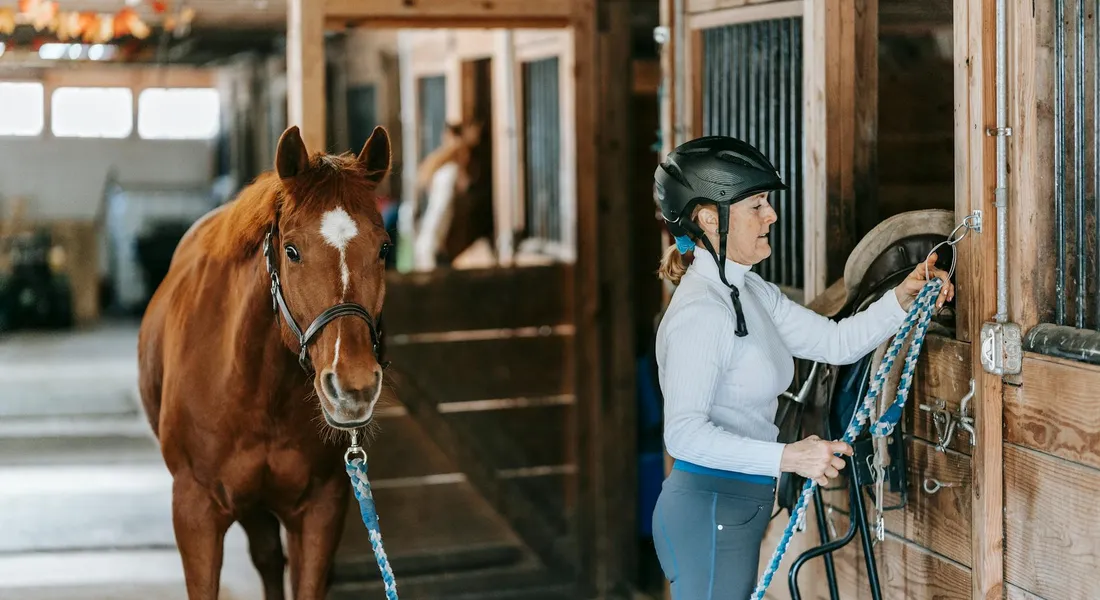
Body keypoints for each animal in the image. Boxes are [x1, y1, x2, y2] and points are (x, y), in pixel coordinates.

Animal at [137, 124, 394, 600]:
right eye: (291, 251)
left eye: (384, 249)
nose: (353, 388)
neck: (257, 386)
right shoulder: (195, 511)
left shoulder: (321, 509)